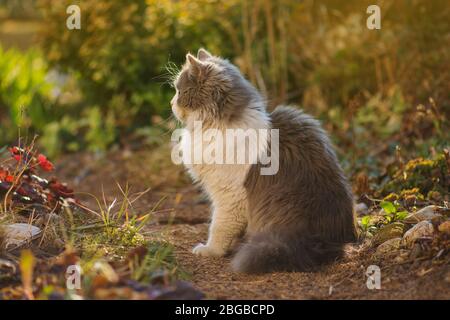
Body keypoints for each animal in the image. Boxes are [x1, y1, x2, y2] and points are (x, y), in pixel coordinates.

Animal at [171, 48, 356, 274]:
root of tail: (321, 242)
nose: (171, 103)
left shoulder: (230, 197)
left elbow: (219, 227)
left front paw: (209, 250)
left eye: (178, 91)